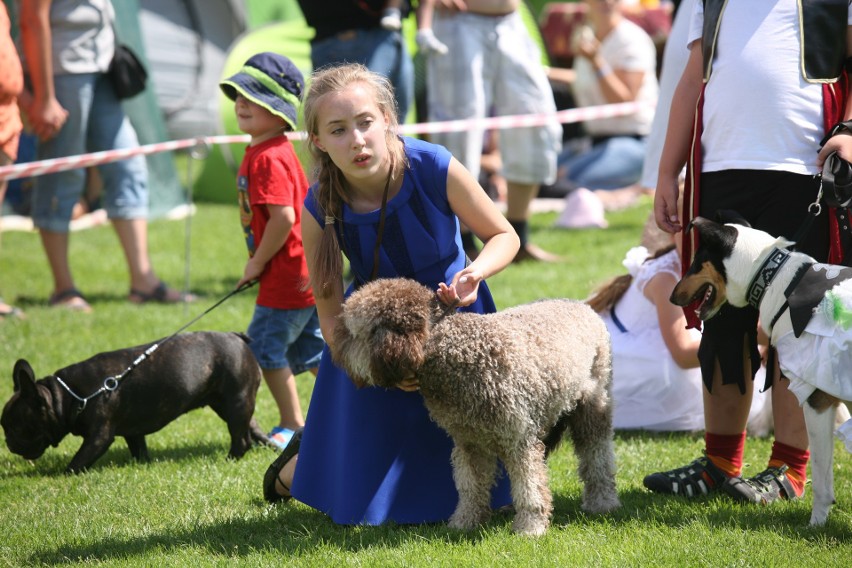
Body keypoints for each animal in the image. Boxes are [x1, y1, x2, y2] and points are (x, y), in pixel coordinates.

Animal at [672, 216, 852, 524]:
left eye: (695, 261)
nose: (672, 297)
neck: (777, 280)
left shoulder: (817, 399)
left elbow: (821, 476)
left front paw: (816, 523)